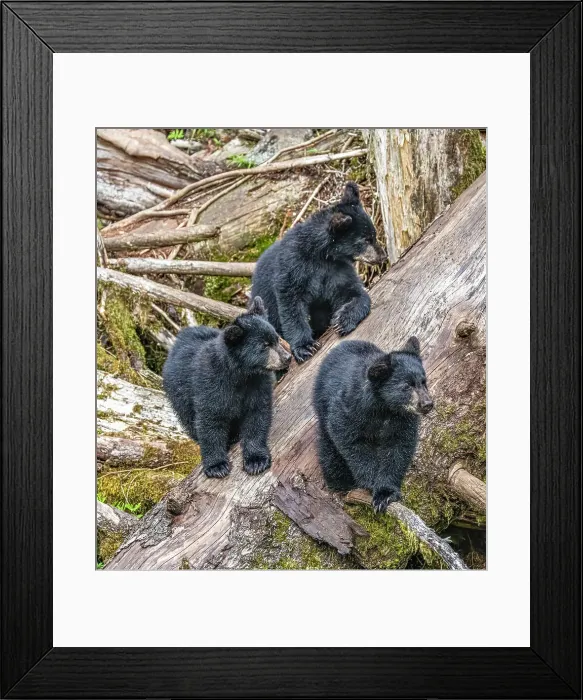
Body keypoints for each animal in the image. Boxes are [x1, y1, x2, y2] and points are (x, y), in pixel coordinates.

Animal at [162, 297, 291, 479]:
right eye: (264, 345)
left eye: (276, 338)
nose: (287, 357)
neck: (240, 375)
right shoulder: (211, 384)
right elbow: (210, 421)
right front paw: (216, 466)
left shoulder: (257, 384)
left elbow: (257, 415)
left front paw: (256, 460)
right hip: (179, 394)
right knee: (189, 420)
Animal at [251, 181, 386, 364]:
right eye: (366, 240)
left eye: (374, 235)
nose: (383, 256)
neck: (322, 255)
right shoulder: (293, 267)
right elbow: (291, 305)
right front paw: (305, 347)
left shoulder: (337, 270)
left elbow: (353, 292)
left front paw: (343, 319)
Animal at [312, 336, 434, 512]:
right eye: (406, 386)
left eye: (424, 382)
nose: (427, 404)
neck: (384, 408)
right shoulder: (349, 409)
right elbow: (351, 442)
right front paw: (371, 483)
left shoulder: (403, 419)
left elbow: (398, 448)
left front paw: (385, 493)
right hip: (322, 410)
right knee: (330, 454)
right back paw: (340, 483)